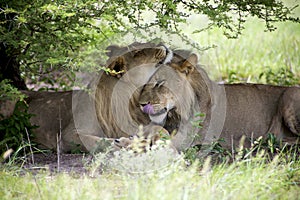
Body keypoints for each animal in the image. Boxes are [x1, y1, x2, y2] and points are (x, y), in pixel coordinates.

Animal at [137, 51, 298, 150]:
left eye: (159, 83)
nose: (141, 104)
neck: (177, 112)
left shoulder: (192, 138)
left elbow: (162, 134)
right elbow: (153, 127)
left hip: (290, 94)